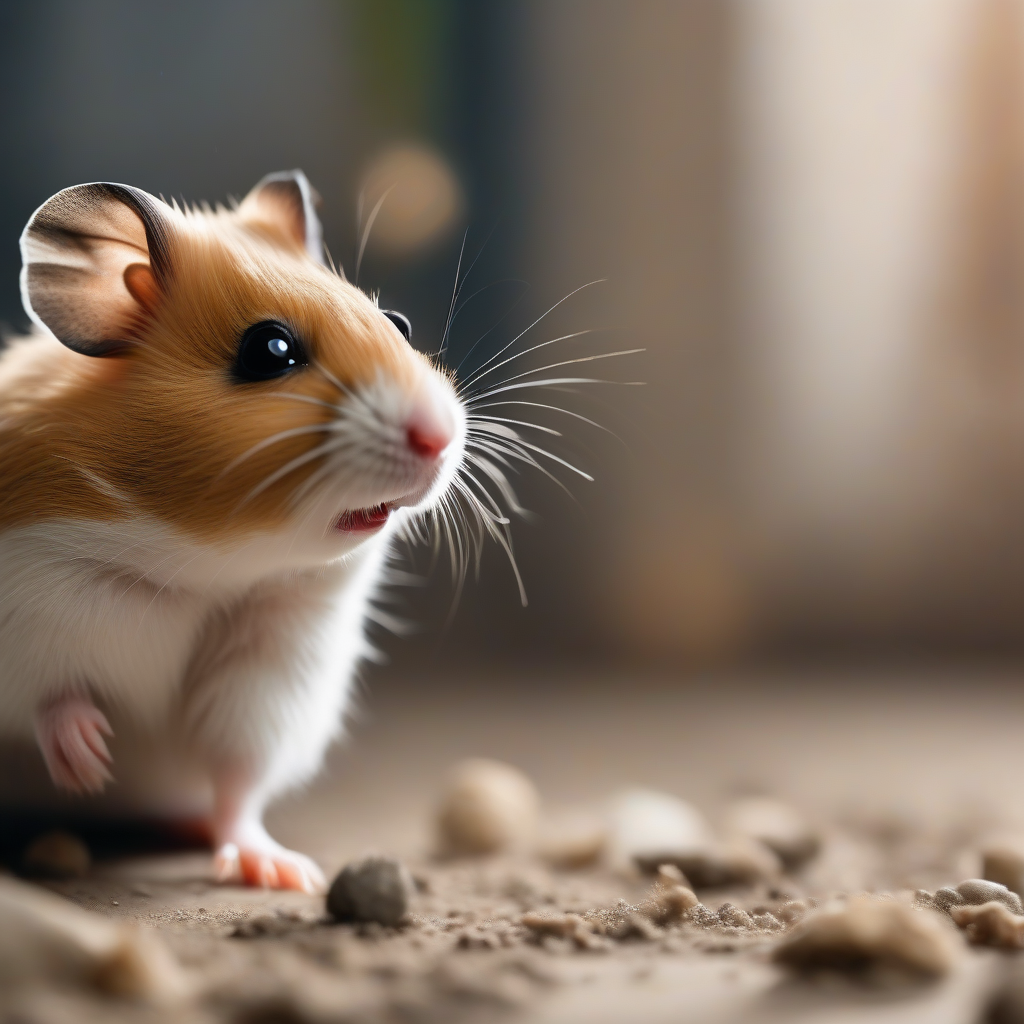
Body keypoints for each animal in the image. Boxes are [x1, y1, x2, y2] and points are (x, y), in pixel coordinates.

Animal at [0, 171, 465, 892]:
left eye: (398, 323)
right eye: (269, 351)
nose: (440, 439)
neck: (196, 565)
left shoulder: (269, 673)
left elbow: (238, 780)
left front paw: (281, 872)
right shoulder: (29, 616)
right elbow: (48, 698)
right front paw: (91, 761)